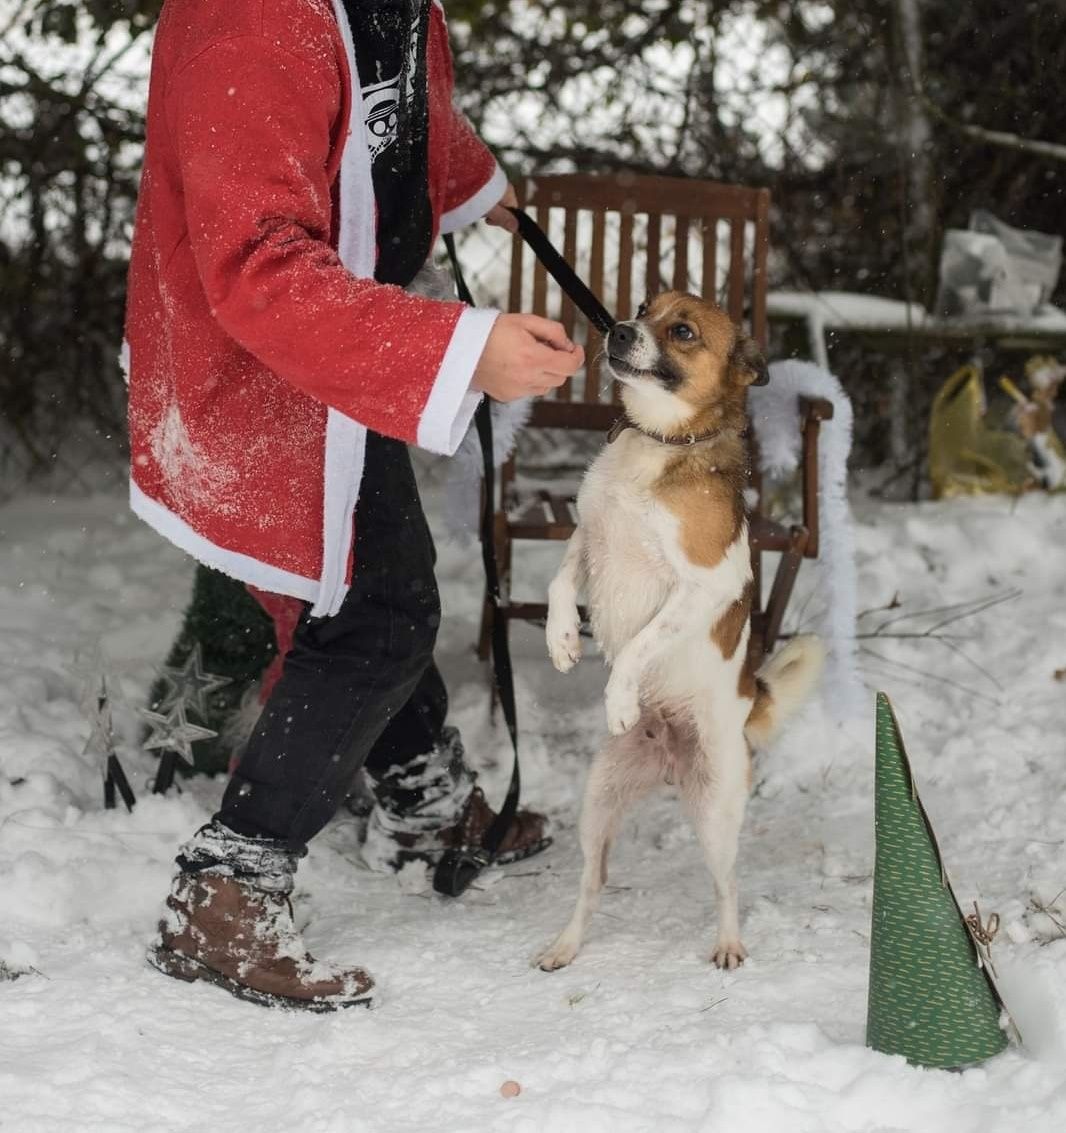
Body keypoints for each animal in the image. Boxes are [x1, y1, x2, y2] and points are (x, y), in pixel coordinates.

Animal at [532, 292, 824, 974]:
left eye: (684, 332)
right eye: (643, 306)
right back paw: (566, 945)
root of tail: (668, 763)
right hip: (598, 804)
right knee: (593, 882)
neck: (660, 440)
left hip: (715, 811)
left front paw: (618, 697)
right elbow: (560, 583)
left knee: (728, 884)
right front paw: (562, 638)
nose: (616, 329)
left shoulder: (705, 587)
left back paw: (728, 942)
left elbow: (640, 643)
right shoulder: (588, 536)